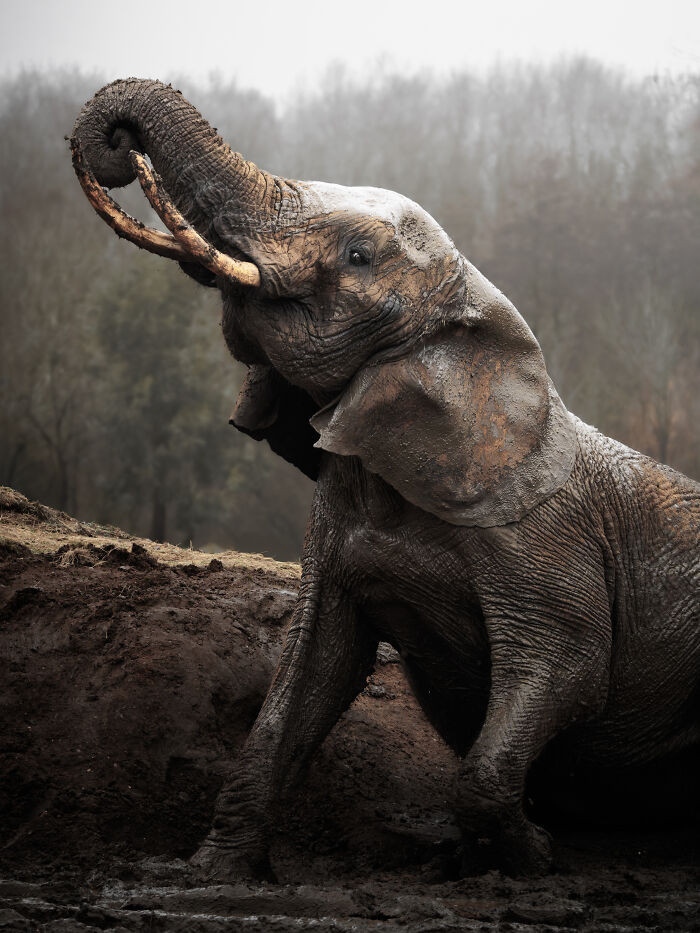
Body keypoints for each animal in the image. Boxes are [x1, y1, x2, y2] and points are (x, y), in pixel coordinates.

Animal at [71, 79, 700, 879]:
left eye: (359, 254)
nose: (118, 145)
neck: (471, 318)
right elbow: (312, 670)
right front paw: (211, 873)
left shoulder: (541, 539)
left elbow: (568, 664)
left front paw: (533, 854)